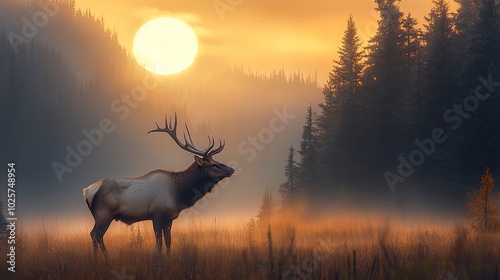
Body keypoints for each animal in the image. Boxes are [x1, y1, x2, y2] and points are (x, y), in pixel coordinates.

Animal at [81, 114, 234, 256]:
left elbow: (168, 242)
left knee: (96, 235)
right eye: (214, 165)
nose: (231, 169)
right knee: (95, 234)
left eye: (217, 161)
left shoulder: (169, 218)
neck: (179, 194)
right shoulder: (157, 214)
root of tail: (87, 190)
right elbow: (159, 243)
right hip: (103, 214)